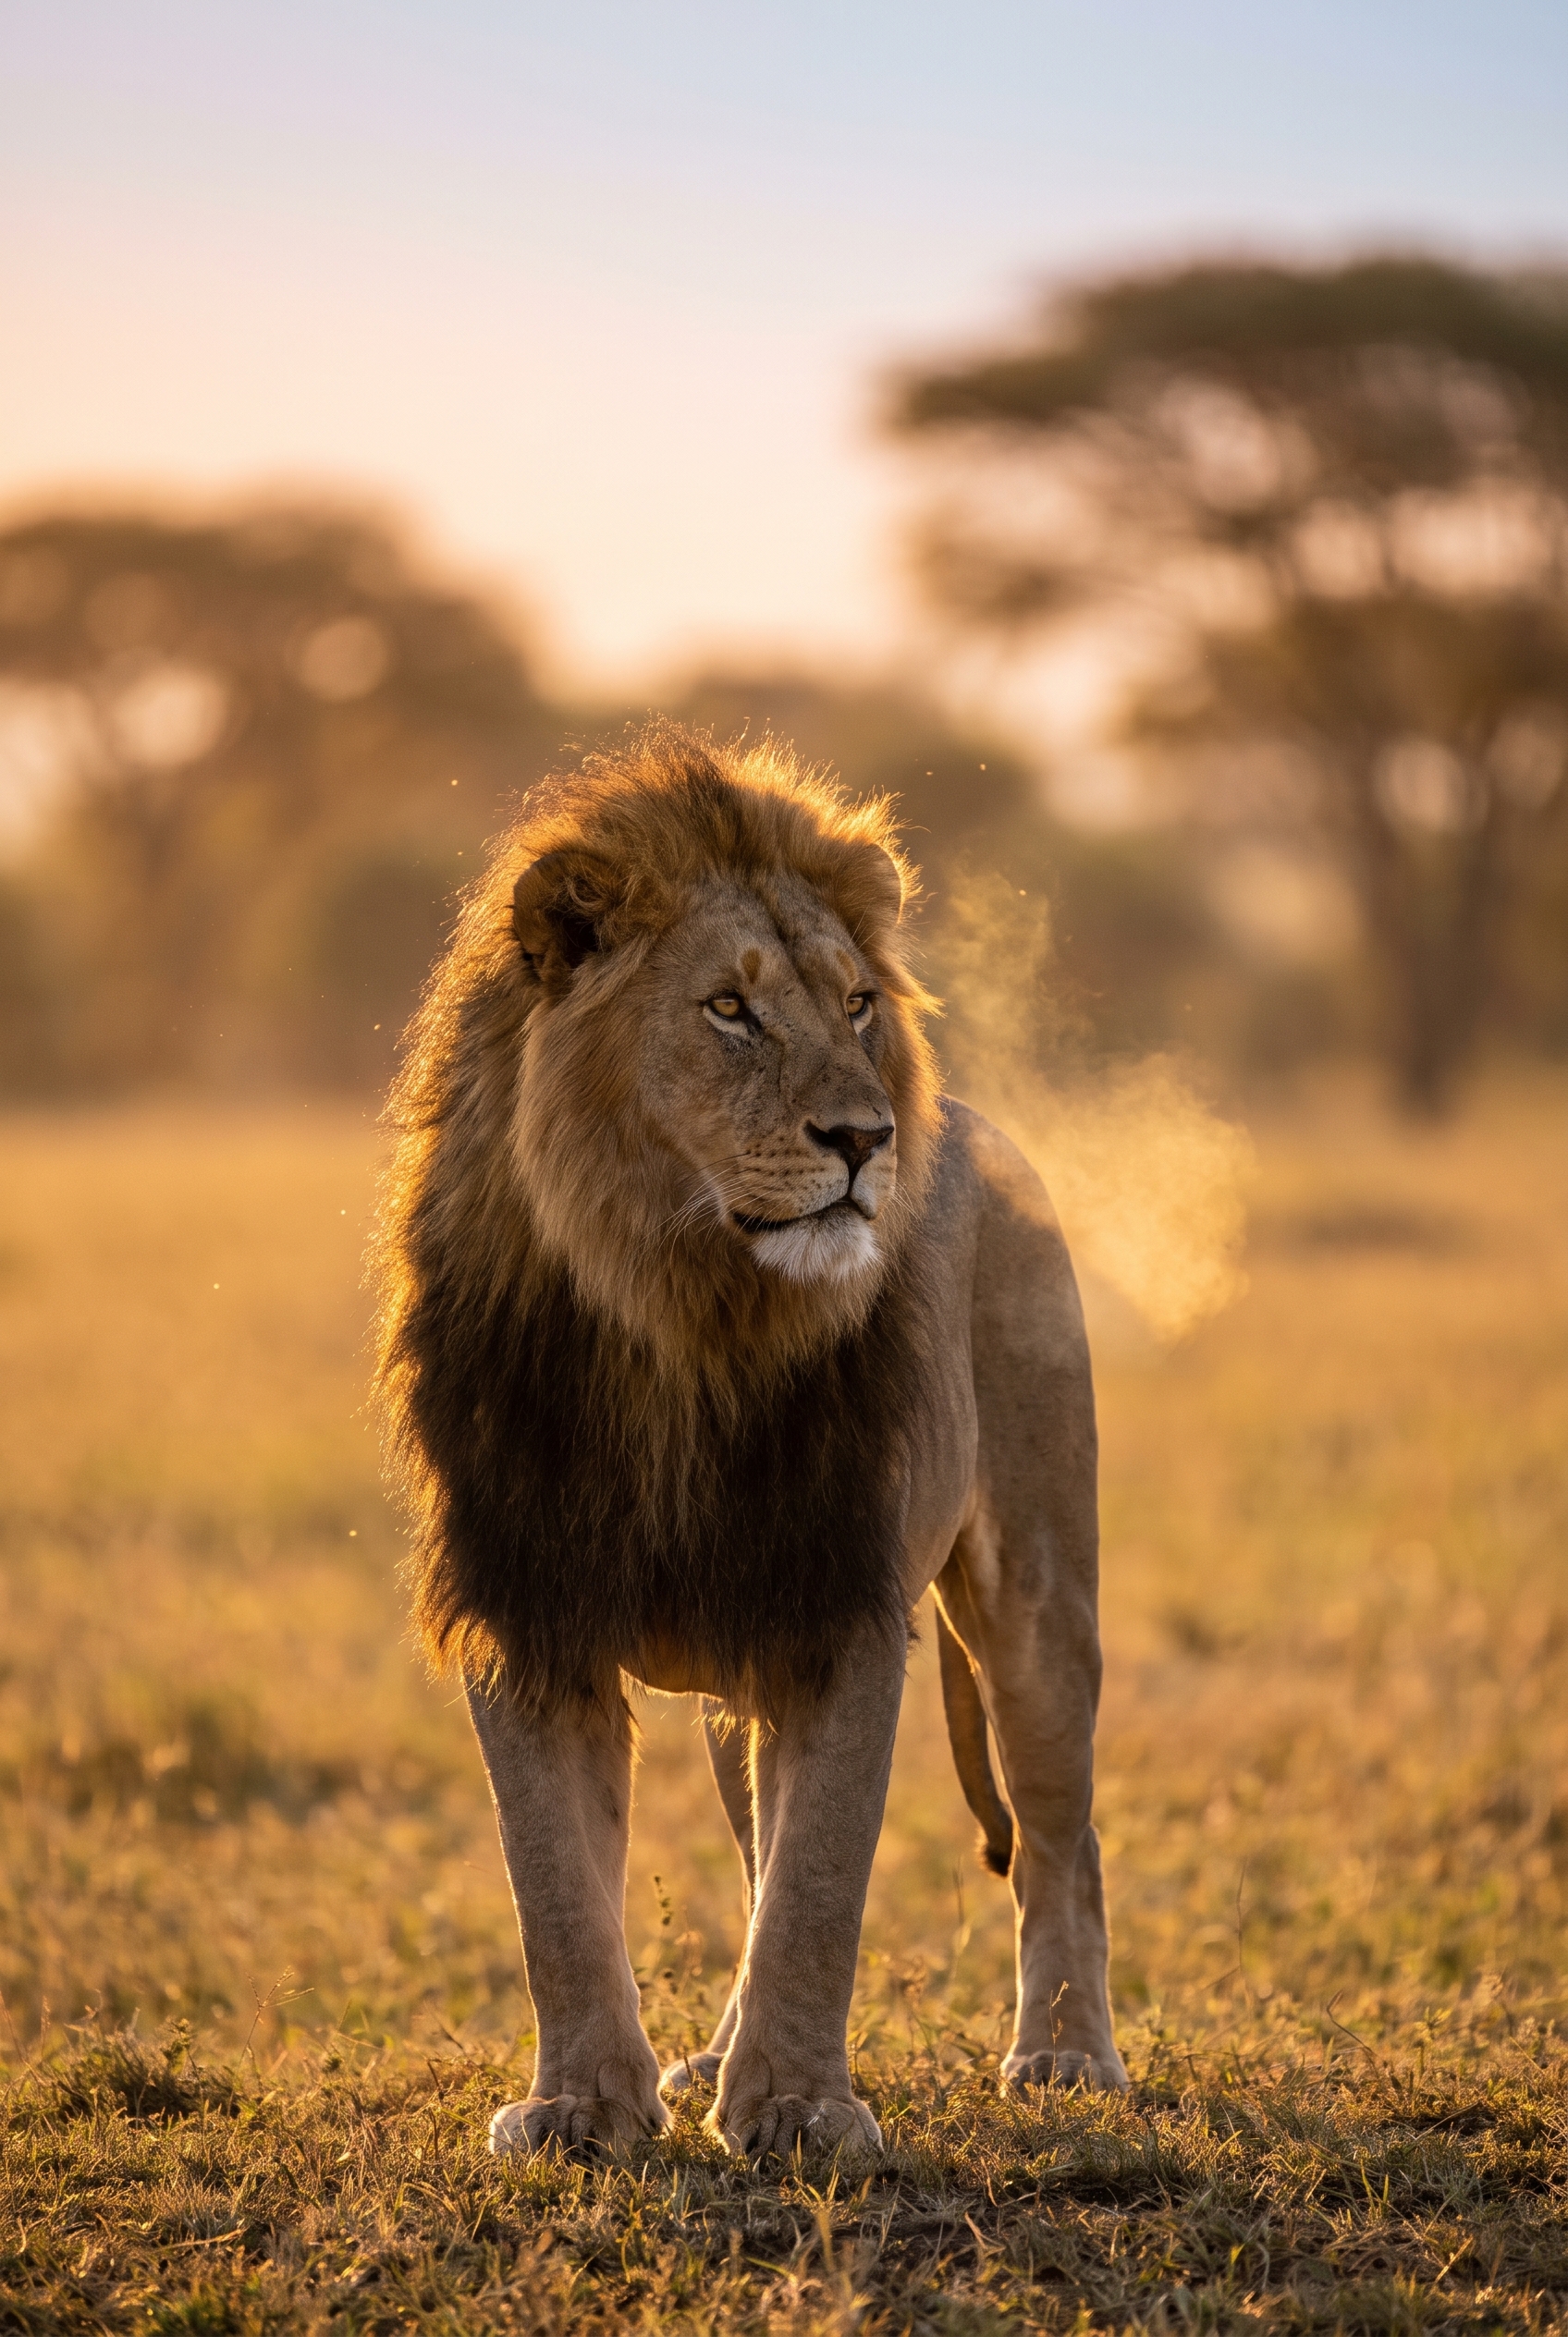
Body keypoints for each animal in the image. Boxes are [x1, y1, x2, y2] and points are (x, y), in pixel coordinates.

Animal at [374, 721, 1127, 2161]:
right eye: (729, 1010)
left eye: (857, 1005)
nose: (866, 1137)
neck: (677, 1316)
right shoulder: (526, 1601)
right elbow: (557, 1889)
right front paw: (584, 2107)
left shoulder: (836, 1601)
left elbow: (819, 1882)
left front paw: (796, 2108)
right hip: (742, 1673)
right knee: (749, 1833)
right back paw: (715, 2052)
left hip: (1038, 1590)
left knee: (1061, 1834)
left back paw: (1067, 2054)